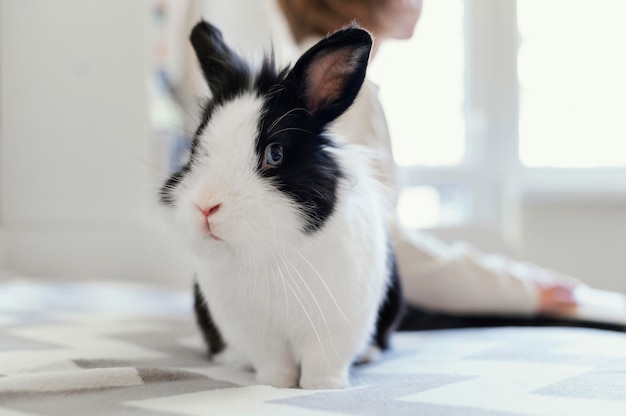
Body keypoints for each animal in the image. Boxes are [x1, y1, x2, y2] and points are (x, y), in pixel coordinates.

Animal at [158, 20, 402, 390]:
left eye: (274, 154)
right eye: (196, 147)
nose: (206, 207)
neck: (269, 255)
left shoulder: (336, 324)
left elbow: (323, 362)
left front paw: (324, 388)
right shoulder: (257, 332)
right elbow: (274, 363)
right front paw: (276, 385)